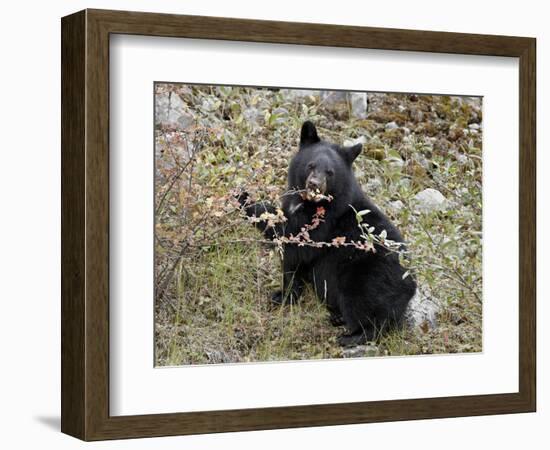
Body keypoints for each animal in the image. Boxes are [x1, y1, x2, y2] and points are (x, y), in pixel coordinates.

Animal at [242, 121, 418, 346]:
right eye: (310, 165)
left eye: (330, 172)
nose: (314, 184)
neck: (310, 203)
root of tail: (410, 287)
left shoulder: (323, 225)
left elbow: (293, 240)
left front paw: (244, 198)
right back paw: (338, 318)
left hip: (368, 277)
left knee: (368, 310)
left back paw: (352, 336)